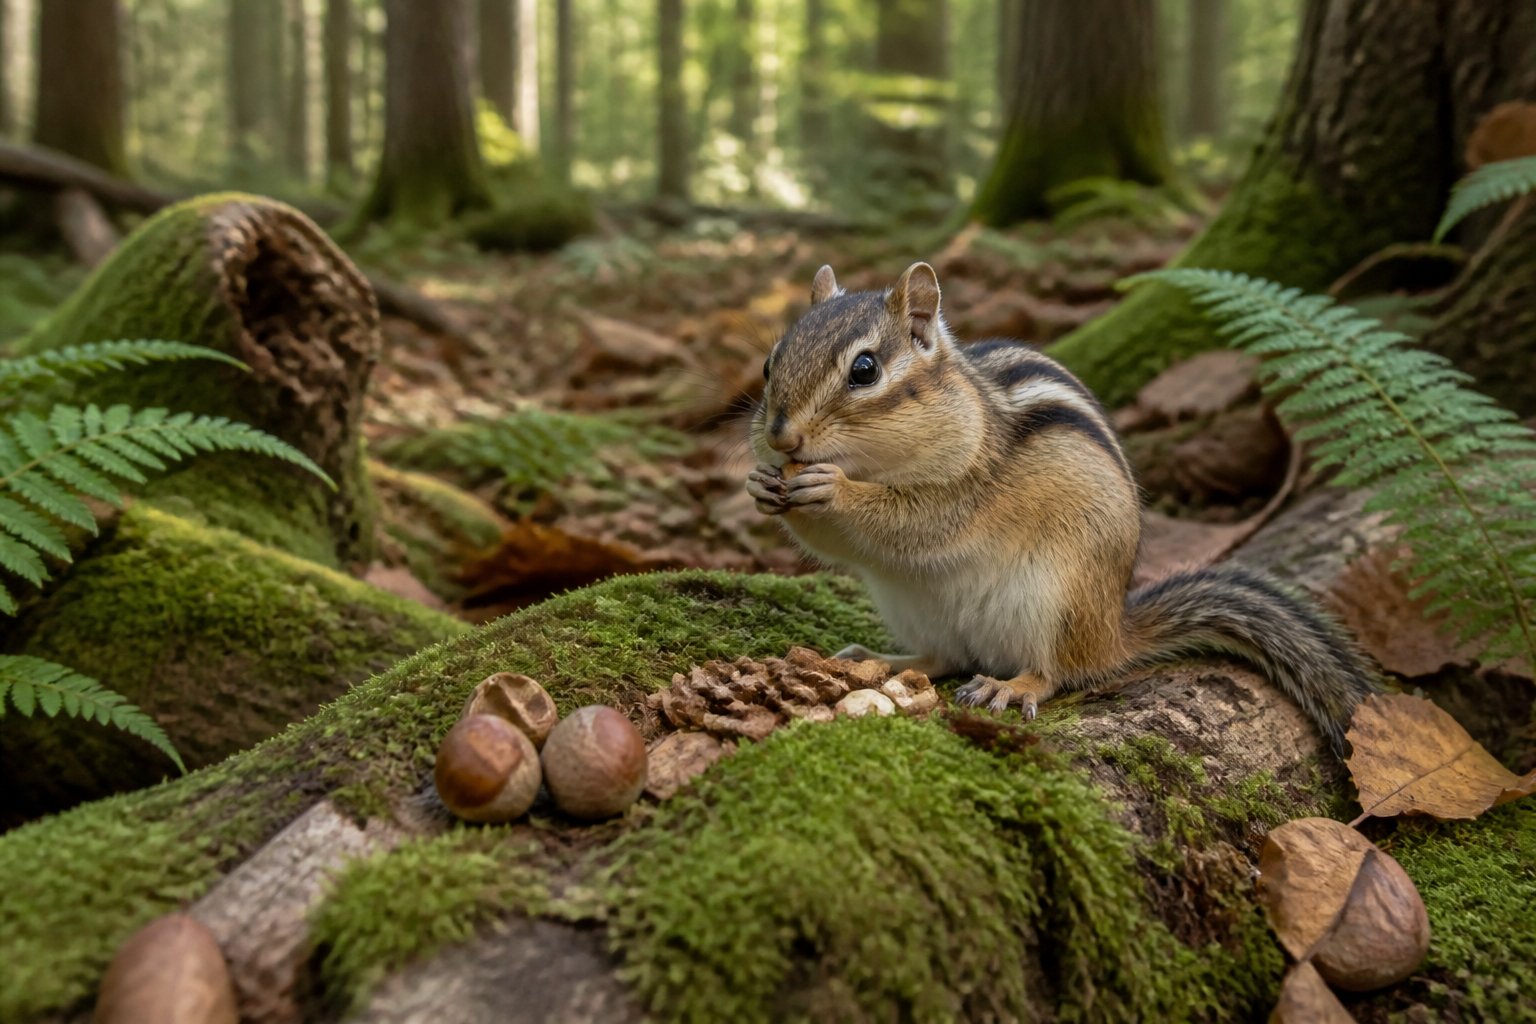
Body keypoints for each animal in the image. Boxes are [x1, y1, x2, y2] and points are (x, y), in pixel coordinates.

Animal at [745, 261, 1380, 753]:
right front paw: (761, 485)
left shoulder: (973, 484)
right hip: (912, 607)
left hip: (1056, 598)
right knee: (944, 657)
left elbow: (923, 520)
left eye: (865, 369)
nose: (780, 438)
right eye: (769, 363)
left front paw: (835, 490)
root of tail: (1113, 631)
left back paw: (1012, 685)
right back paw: (888, 660)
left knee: (1058, 672)